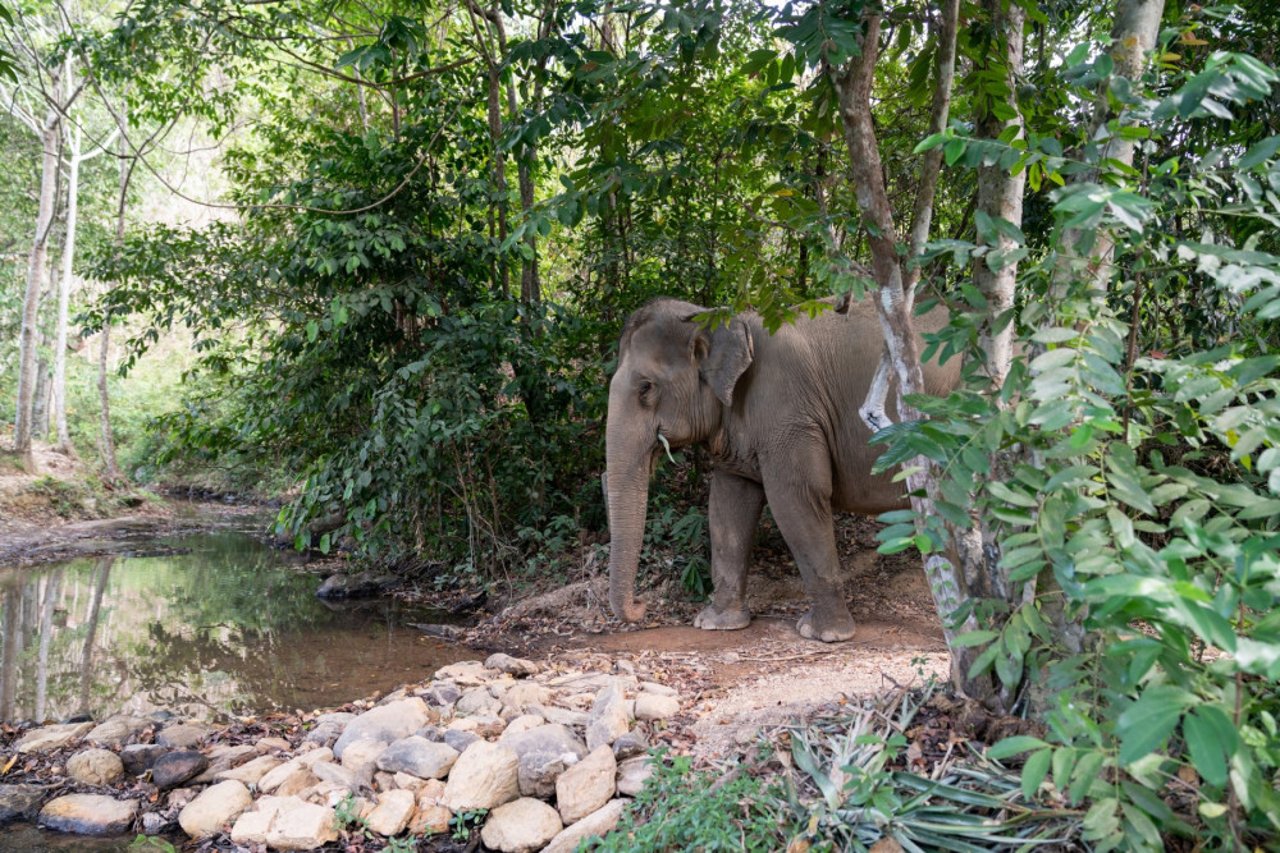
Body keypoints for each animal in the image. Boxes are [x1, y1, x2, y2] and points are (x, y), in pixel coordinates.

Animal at [606, 297, 962, 637]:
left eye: (646, 388)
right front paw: (716, 623)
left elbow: (796, 498)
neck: (723, 318)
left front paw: (823, 633)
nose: (641, 604)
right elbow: (727, 505)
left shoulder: (789, 414)